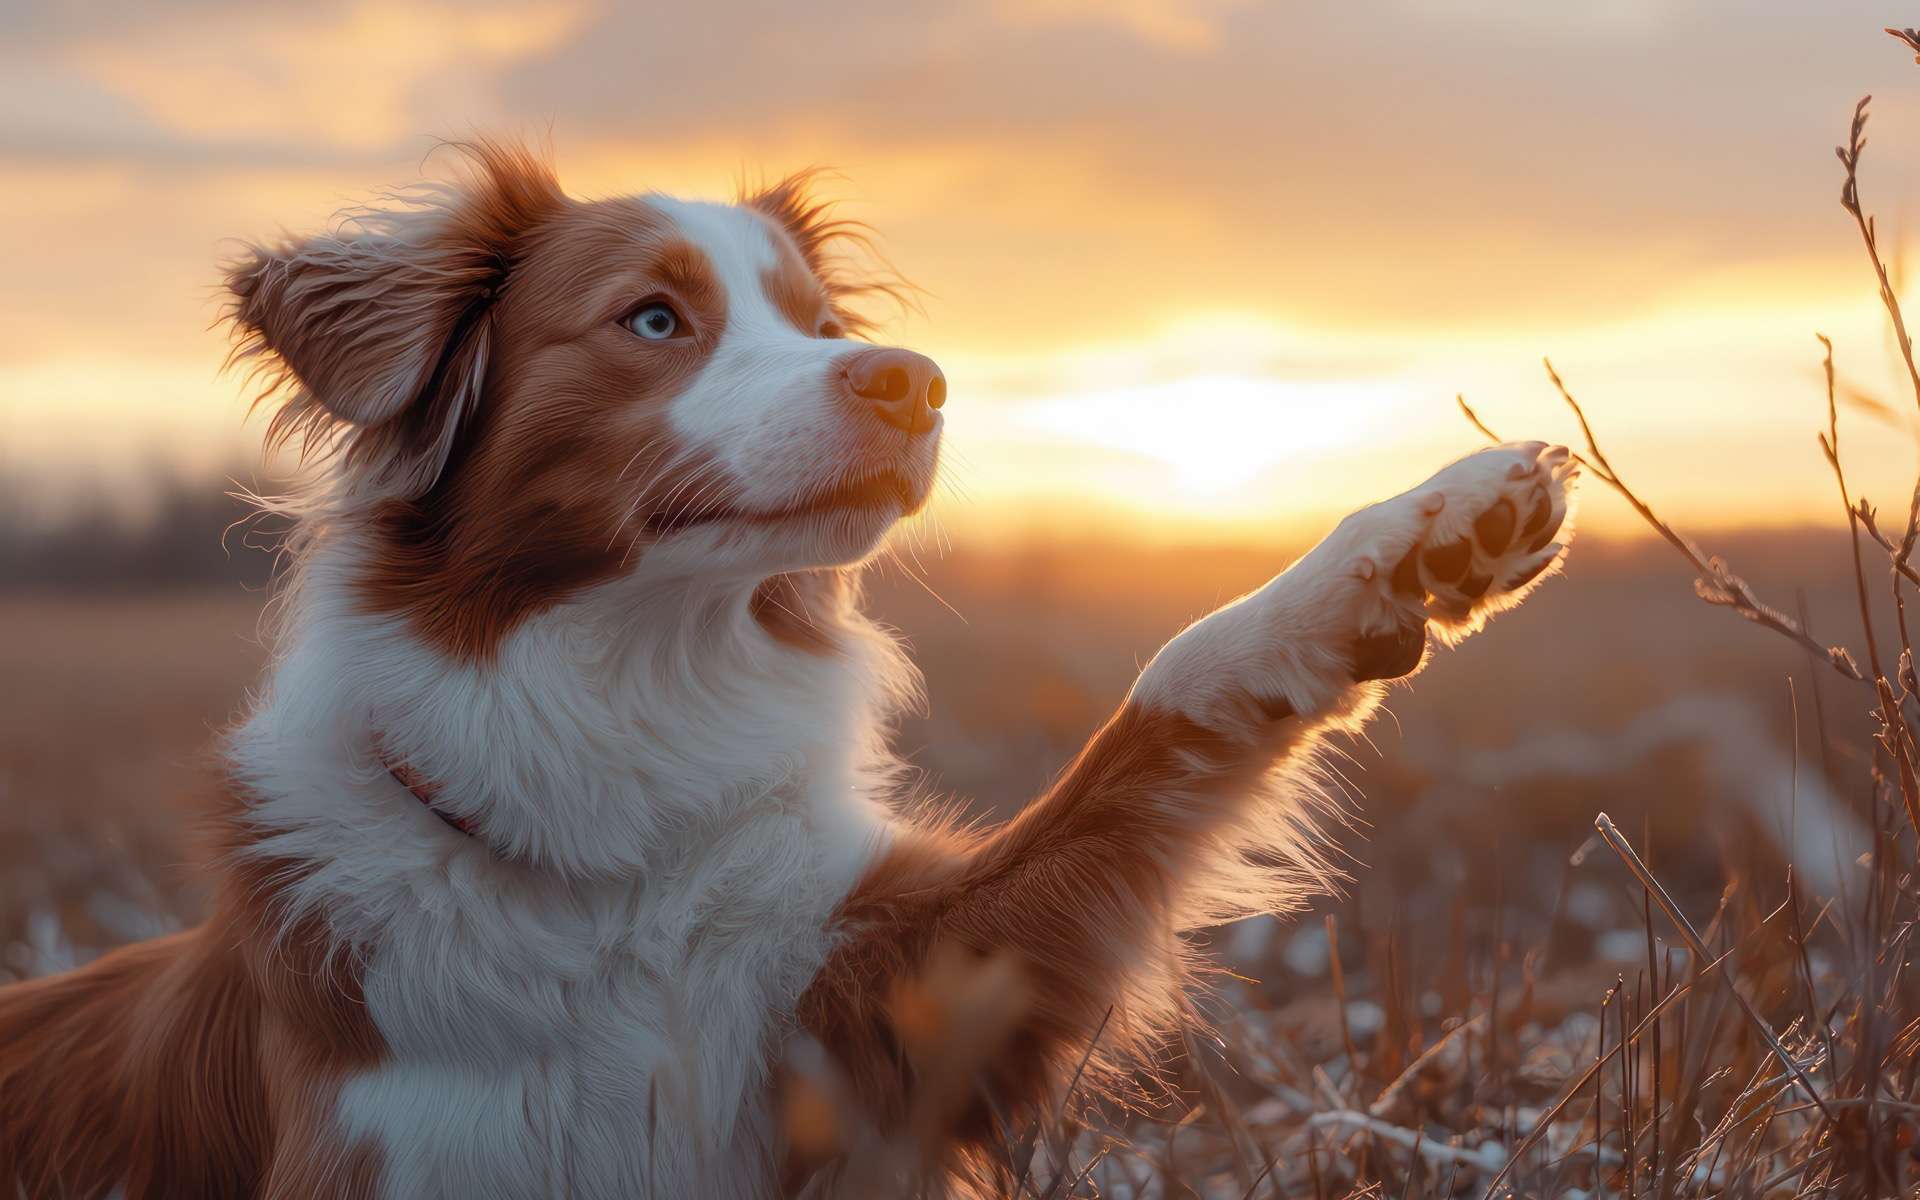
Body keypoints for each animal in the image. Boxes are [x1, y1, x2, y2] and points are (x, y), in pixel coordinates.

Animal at [0, 143, 1574, 1198]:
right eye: (652, 319)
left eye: (822, 325)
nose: (914, 380)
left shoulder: (870, 1021)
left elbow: (1161, 713)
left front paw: (1414, 542)